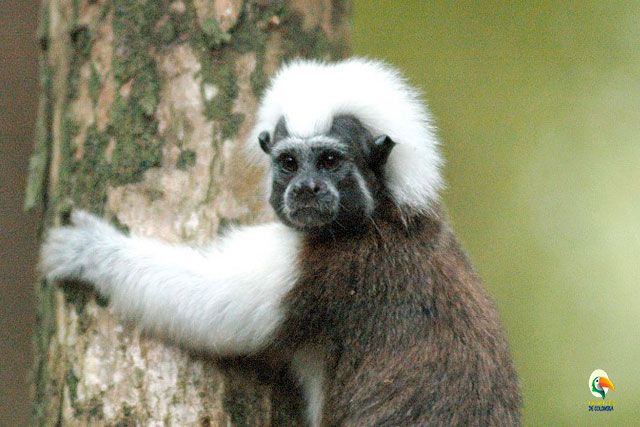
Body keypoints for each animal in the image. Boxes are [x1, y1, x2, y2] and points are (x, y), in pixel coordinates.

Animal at [40, 58, 520, 426]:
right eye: (289, 163)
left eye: (329, 161)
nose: (306, 189)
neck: (380, 215)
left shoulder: (329, 268)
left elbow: (208, 305)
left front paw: (93, 253)